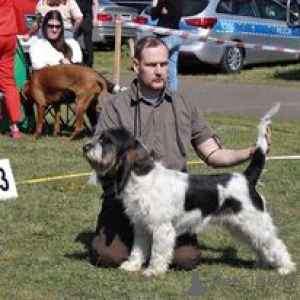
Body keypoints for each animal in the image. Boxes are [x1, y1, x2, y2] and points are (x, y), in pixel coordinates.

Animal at [84, 103, 296, 276]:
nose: (85, 147)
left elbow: (158, 251)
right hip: (240, 226)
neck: (143, 177)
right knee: (261, 246)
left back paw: (286, 268)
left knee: (276, 244)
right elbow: (138, 249)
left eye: (107, 141)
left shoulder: (161, 228)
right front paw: (132, 265)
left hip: (255, 223)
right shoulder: (142, 226)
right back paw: (261, 264)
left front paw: (153, 271)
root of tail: (246, 177)